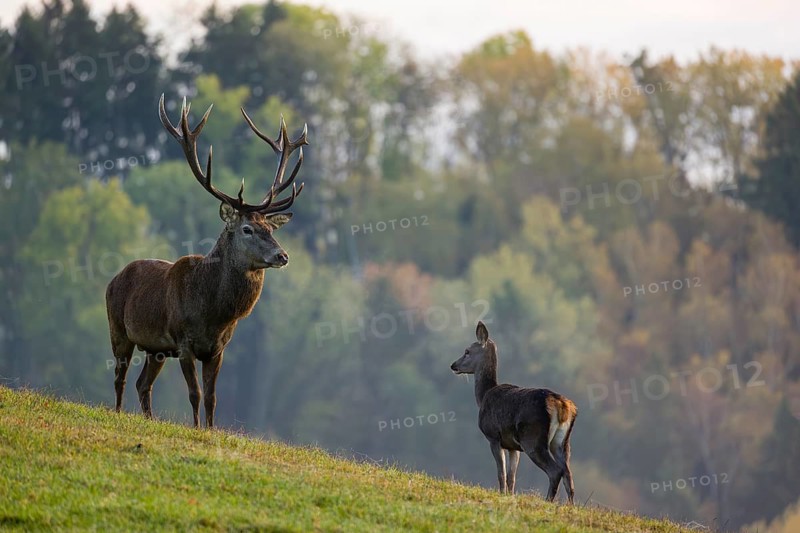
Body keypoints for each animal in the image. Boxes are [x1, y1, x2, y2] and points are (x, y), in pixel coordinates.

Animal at [105, 94, 308, 428]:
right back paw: (118, 412)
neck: (213, 314)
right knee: (120, 378)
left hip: (156, 349)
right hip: (118, 328)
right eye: (247, 229)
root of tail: (114, 277)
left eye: (270, 229)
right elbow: (195, 394)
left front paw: (211, 430)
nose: (283, 255)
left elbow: (212, 397)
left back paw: (148, 418)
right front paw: (197, 429)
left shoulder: (218, 349)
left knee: (142, 383)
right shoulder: (184, 342)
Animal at [450, 321, 578, 503]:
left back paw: (548, 501)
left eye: (467, 351)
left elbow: (501, 473)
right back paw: (569, 505)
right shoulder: (513, 446)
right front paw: (510, 495)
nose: (453, 365)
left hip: (533, 438)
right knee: (568, 473)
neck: (483, 396)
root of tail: (562, 405)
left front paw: (501, 494)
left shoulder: (493, 436)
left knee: (555, 471)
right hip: (562, 442)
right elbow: (512, 477)